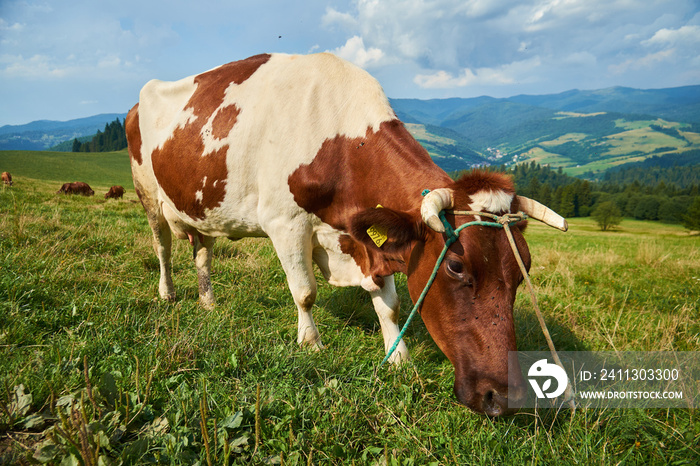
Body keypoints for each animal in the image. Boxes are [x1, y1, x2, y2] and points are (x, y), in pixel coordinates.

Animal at [123, 52, 568, 416]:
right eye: (457, 266)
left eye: (524, 267)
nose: (505, 397)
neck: (337, 138)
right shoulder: (284, 223)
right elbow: (305, 292)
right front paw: (311, 343)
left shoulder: (367, 237)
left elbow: (389, 304)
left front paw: (398, 355)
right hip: (147, 193)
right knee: (162, 247)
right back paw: (168, 294)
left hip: (202, 209)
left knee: (202, 252)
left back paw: (208, 302)